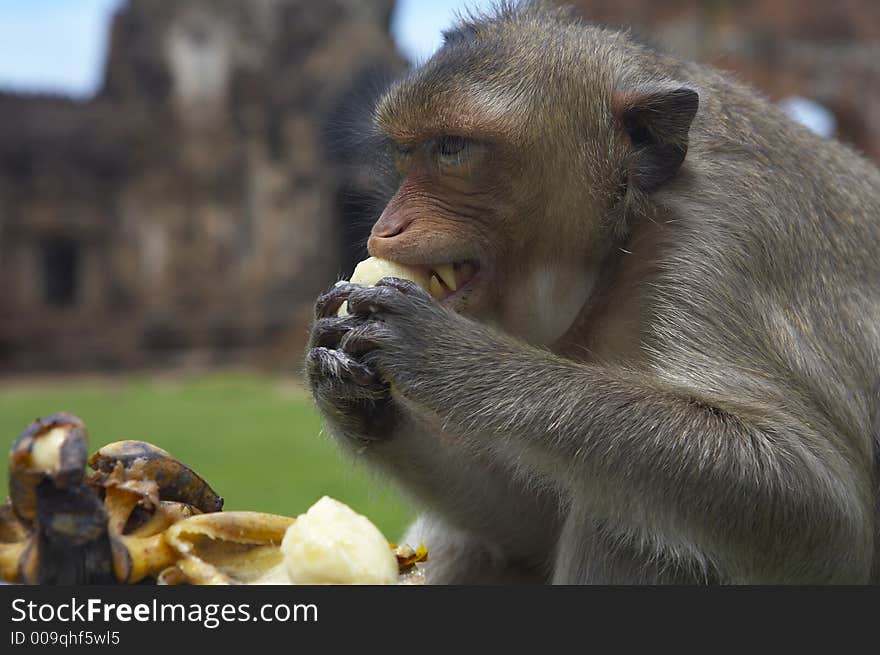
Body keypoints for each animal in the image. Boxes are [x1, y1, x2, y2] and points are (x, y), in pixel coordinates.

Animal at [304, 0, 880, 584]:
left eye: (451, 148)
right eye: (405, 153)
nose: (385, 227)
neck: (623, 233)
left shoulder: (721, 240)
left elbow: (814, 502)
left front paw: (446, 354)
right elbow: (531, 522)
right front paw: (351, 393)